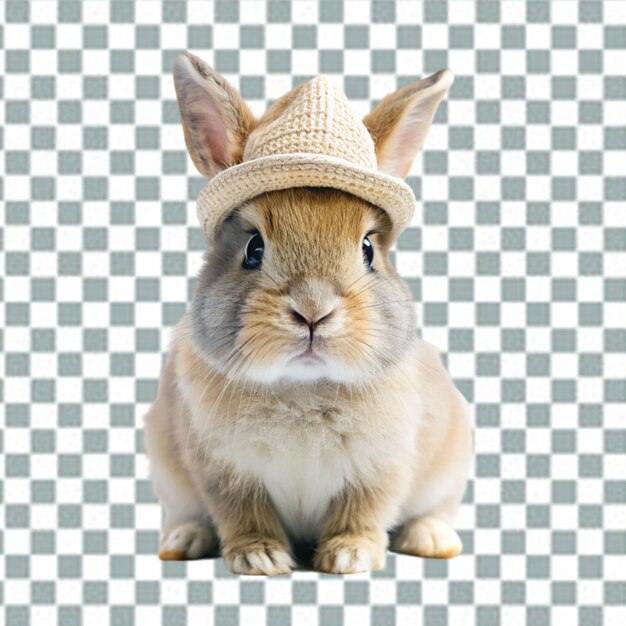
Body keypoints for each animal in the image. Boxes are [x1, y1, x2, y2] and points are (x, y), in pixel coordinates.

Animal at [143, 53, 472, 576]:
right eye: (253, 249)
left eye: (368, 249)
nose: (314, 312)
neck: (302, 387)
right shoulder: (223, 473)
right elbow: (242, 514)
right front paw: (260, 558)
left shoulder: (380, 468)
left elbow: (364, 509)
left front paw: (350, 556)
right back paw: (183, 542)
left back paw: (433, 539)